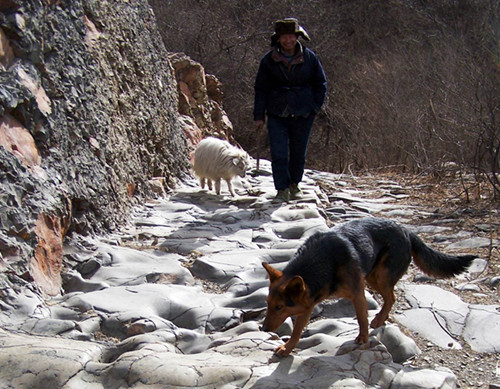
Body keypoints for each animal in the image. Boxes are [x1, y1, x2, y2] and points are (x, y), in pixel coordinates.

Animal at [262, 217, 476, 356]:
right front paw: (287, 348)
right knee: (390, 298)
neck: (320, 261)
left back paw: (379, 319)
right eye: (268, 304)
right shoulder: (308, 303)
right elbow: (297, 331)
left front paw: (363, 339)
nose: (263, 329)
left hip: (380, 277)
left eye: (279, 307)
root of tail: (405, 230)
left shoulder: (357, 292)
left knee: (391, 298)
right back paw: (382, 318)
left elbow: (361, 318)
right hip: (373, 277)